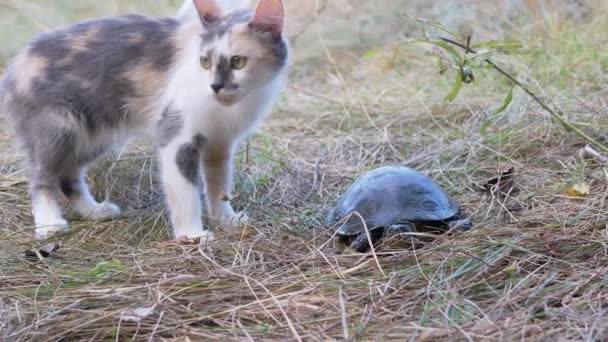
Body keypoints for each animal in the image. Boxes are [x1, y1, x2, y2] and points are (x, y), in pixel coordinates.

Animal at [0, 0, 290, 240]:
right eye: (204, 61)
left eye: (238, 62)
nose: (215, 86)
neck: (227, 109)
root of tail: (16, 64)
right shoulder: (175, 137)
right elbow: (185, 192)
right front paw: (192, 235)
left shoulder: (220, 145)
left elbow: (219, 186)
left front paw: (226, 220)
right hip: (59, 130)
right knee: (42, 177)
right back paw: (49, 224)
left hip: (91, 137)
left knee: (68, 176)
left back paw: (94, 211)